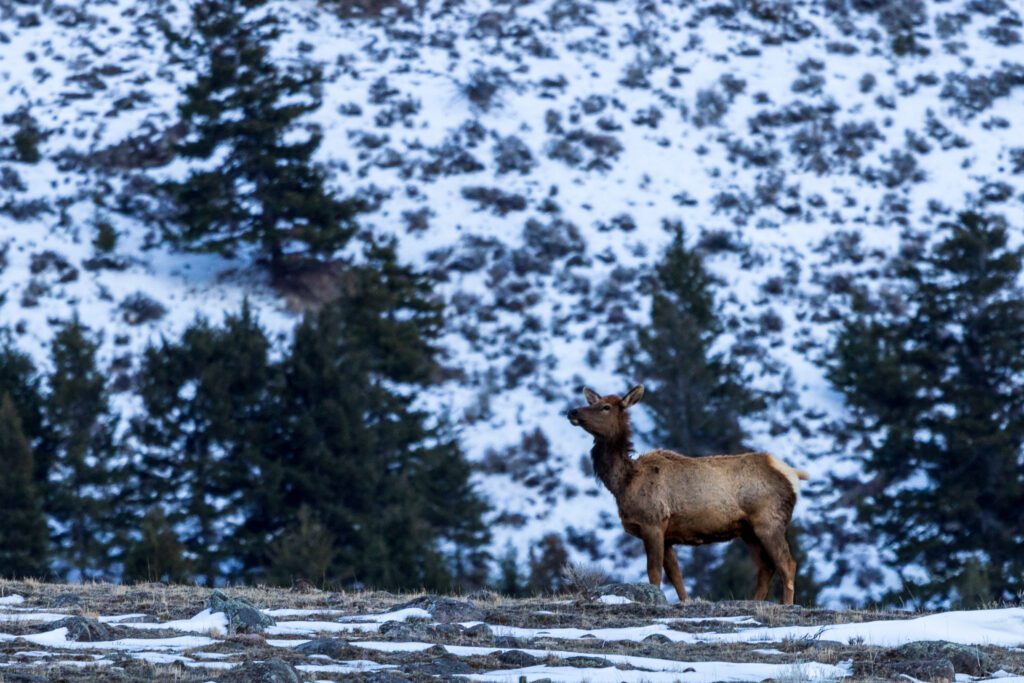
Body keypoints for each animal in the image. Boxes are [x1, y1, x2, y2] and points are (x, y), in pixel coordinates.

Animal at [567, 385, 809, 605]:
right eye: (593, 402)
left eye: (605, 407)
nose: (573, 412)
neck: (624, 483)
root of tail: (792, 474)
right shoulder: (667, 534)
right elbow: (676, 575)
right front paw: (685, 601)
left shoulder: (652, 522)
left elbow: (654, 573)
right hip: (748, 531)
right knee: (767, 567)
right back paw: (753, 601)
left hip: (769, 521)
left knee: (787, 564)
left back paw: (787, 604)